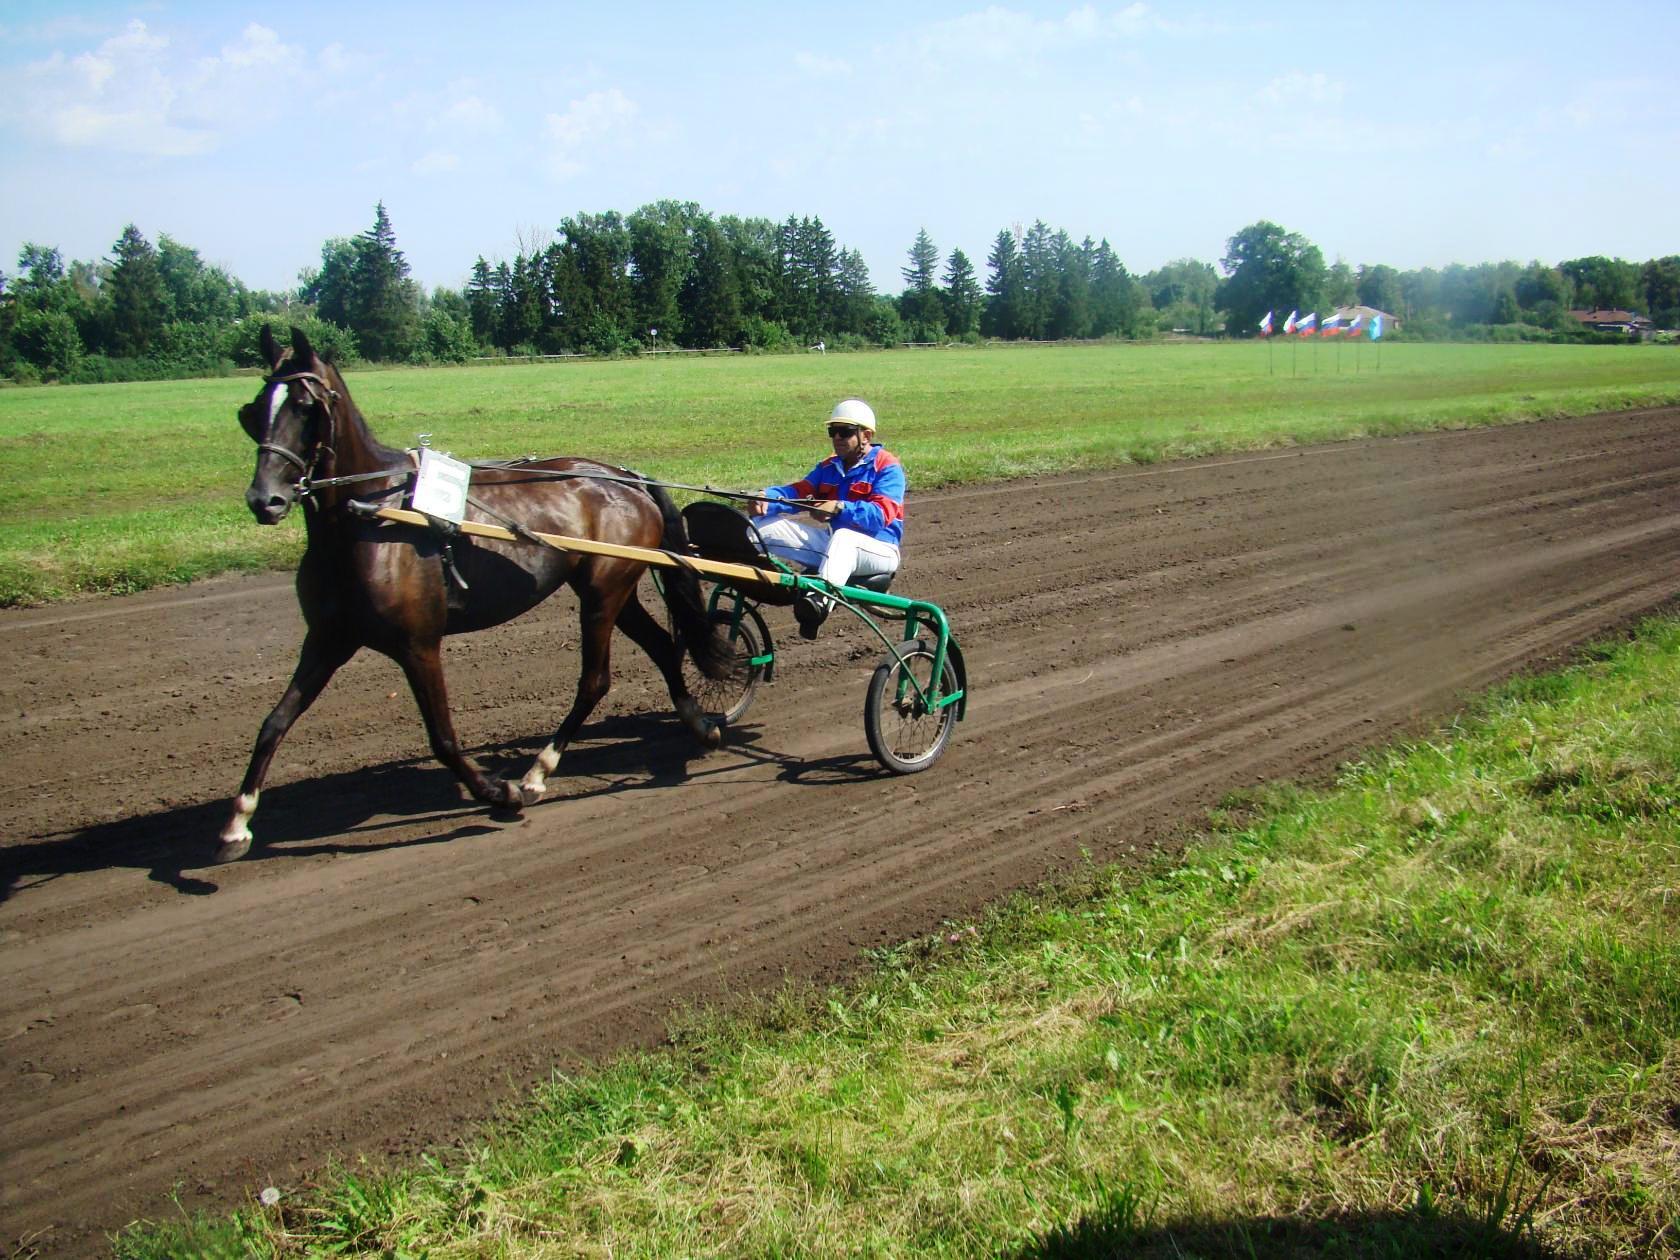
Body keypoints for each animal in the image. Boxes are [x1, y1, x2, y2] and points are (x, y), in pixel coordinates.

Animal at [215, 322, 729, 866]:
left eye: (305, 406)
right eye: (254, 411)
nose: (265, 500)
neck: (369, 518)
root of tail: (627, 477)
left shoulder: (418, 644)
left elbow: (442, 737)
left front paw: (498, 791)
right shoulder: (329, 639)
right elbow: (274, 723)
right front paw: (237, 823)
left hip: (603, 592)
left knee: (595, 681)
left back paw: (537, 773)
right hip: (613, 589)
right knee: (661, 647)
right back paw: (700, 724)